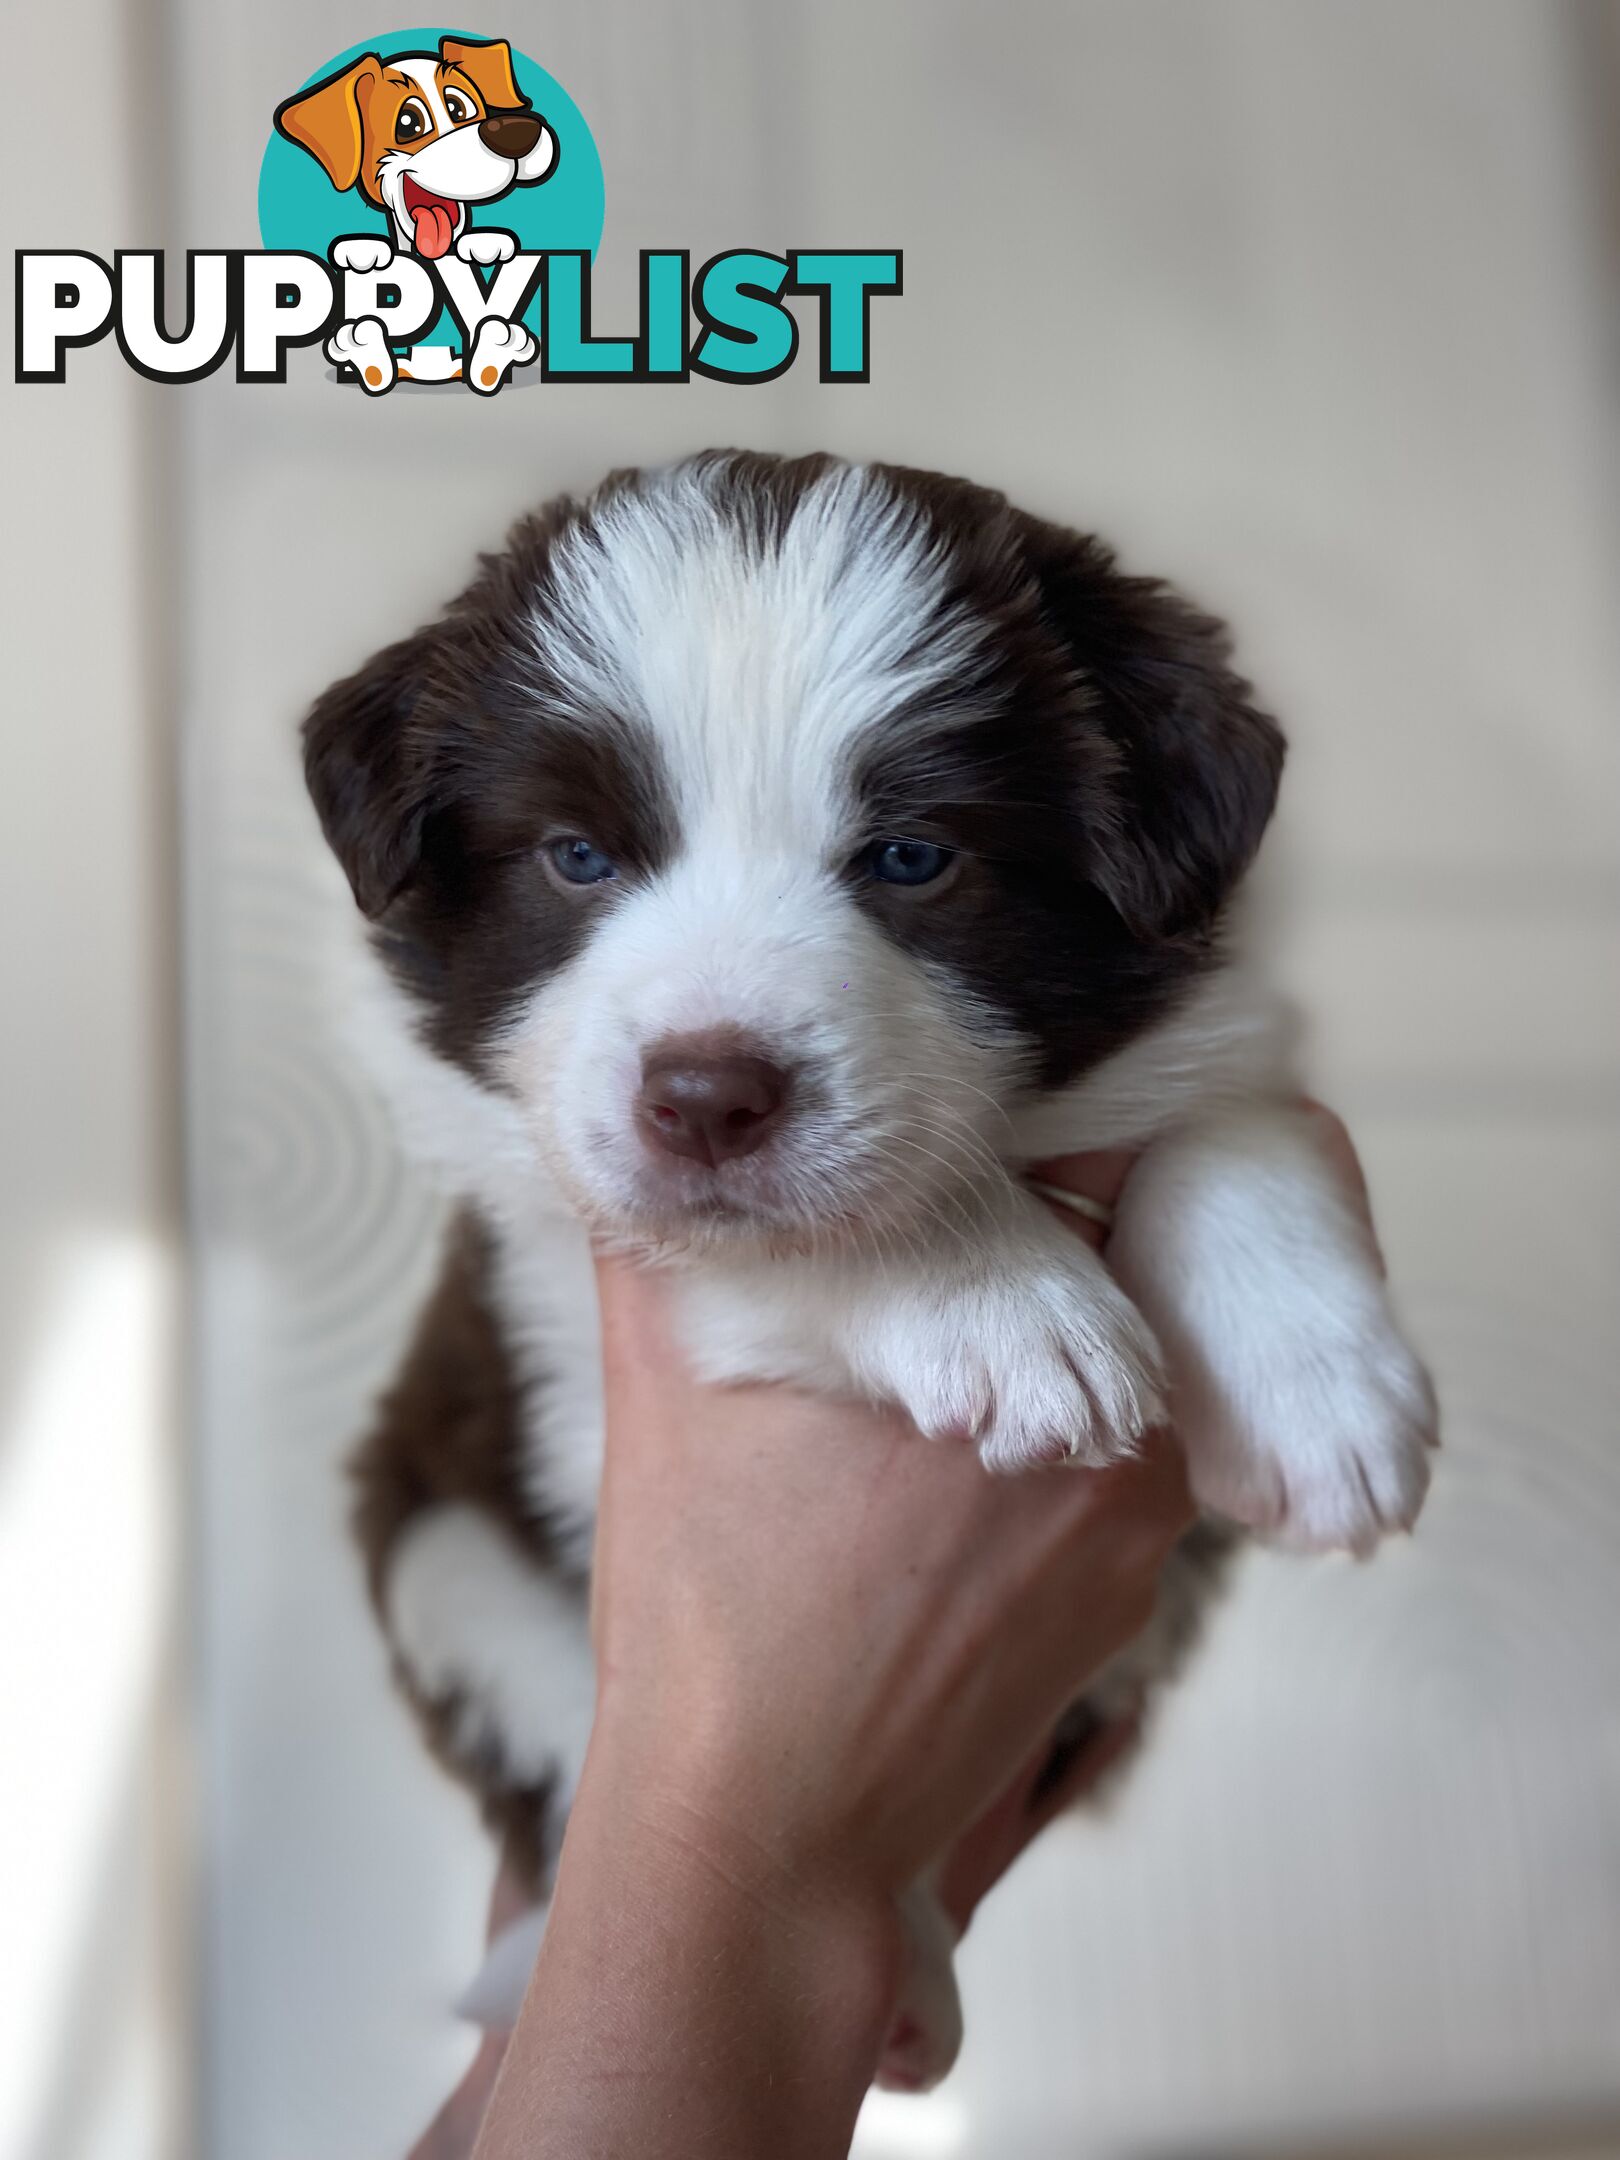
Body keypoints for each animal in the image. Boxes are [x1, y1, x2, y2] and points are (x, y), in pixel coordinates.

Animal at [302, 451, 1434, 2090]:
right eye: (577, 857)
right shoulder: (554, 1270)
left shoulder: (1206, 1031)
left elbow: (1235, 1122)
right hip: (439, 1551)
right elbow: (823, 1226)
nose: (705, 1100)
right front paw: (1006, 1307)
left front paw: (1320, 1401)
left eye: (912, 858)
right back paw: (889, 1967)